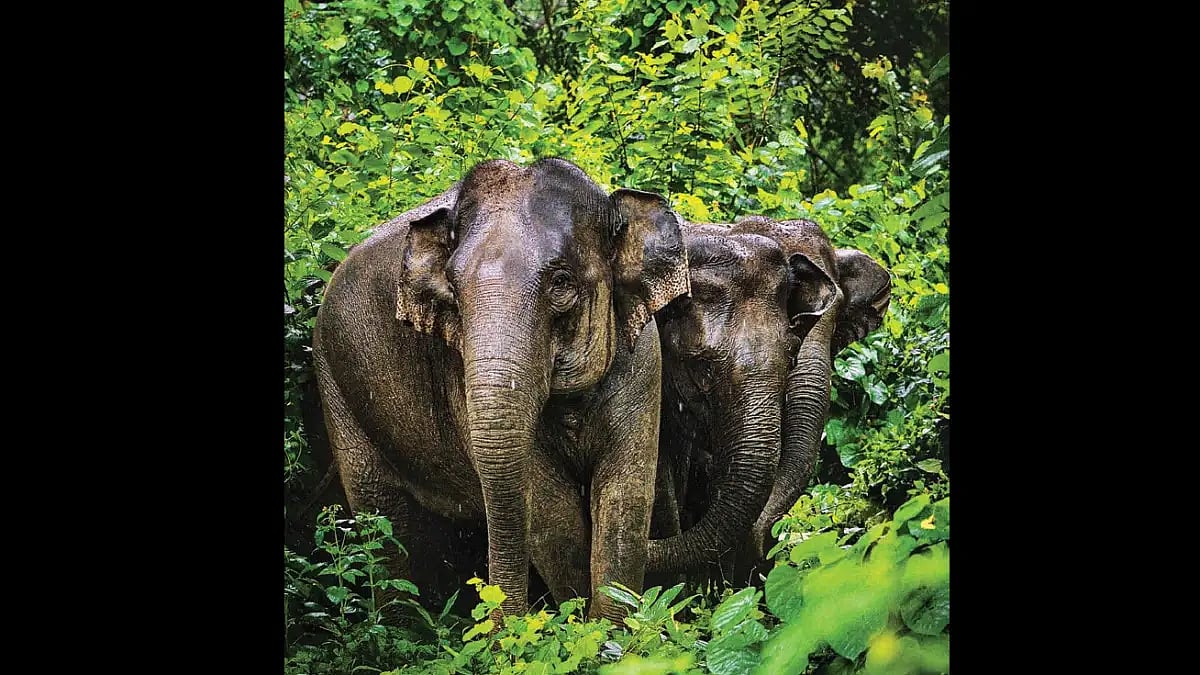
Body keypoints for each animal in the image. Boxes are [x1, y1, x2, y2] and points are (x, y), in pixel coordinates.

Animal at [312, 158, 691, 621]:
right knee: (383, 525)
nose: (501, 617)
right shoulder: (457, 371)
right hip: (336, 387)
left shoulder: (642, 361)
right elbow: (552, 517)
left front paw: (610, 632)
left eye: (560, 283)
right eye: (453, 292)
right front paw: (578, 626)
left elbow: (626, 497)